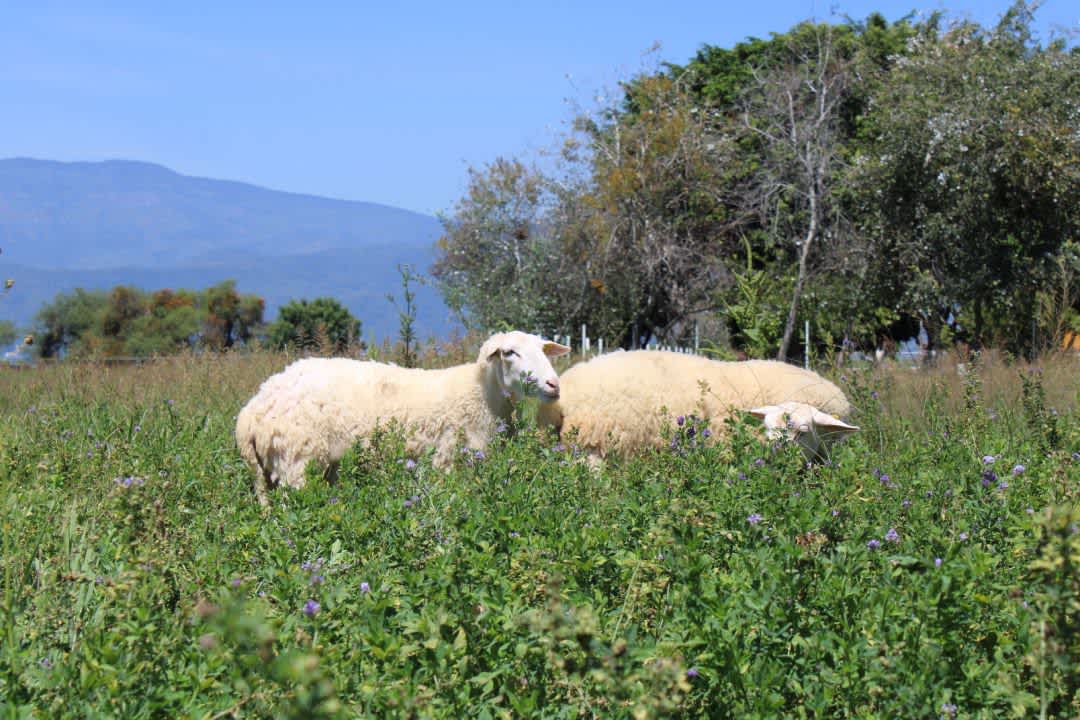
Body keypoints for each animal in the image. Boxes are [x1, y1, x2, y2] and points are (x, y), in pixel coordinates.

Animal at [236, 331, 570, 504]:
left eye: (543, 350)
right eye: (510, 352)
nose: (554, 384)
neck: (480, 394)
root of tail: (252, 409)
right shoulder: (445, 461)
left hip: (273, 472)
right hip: (297, 462)